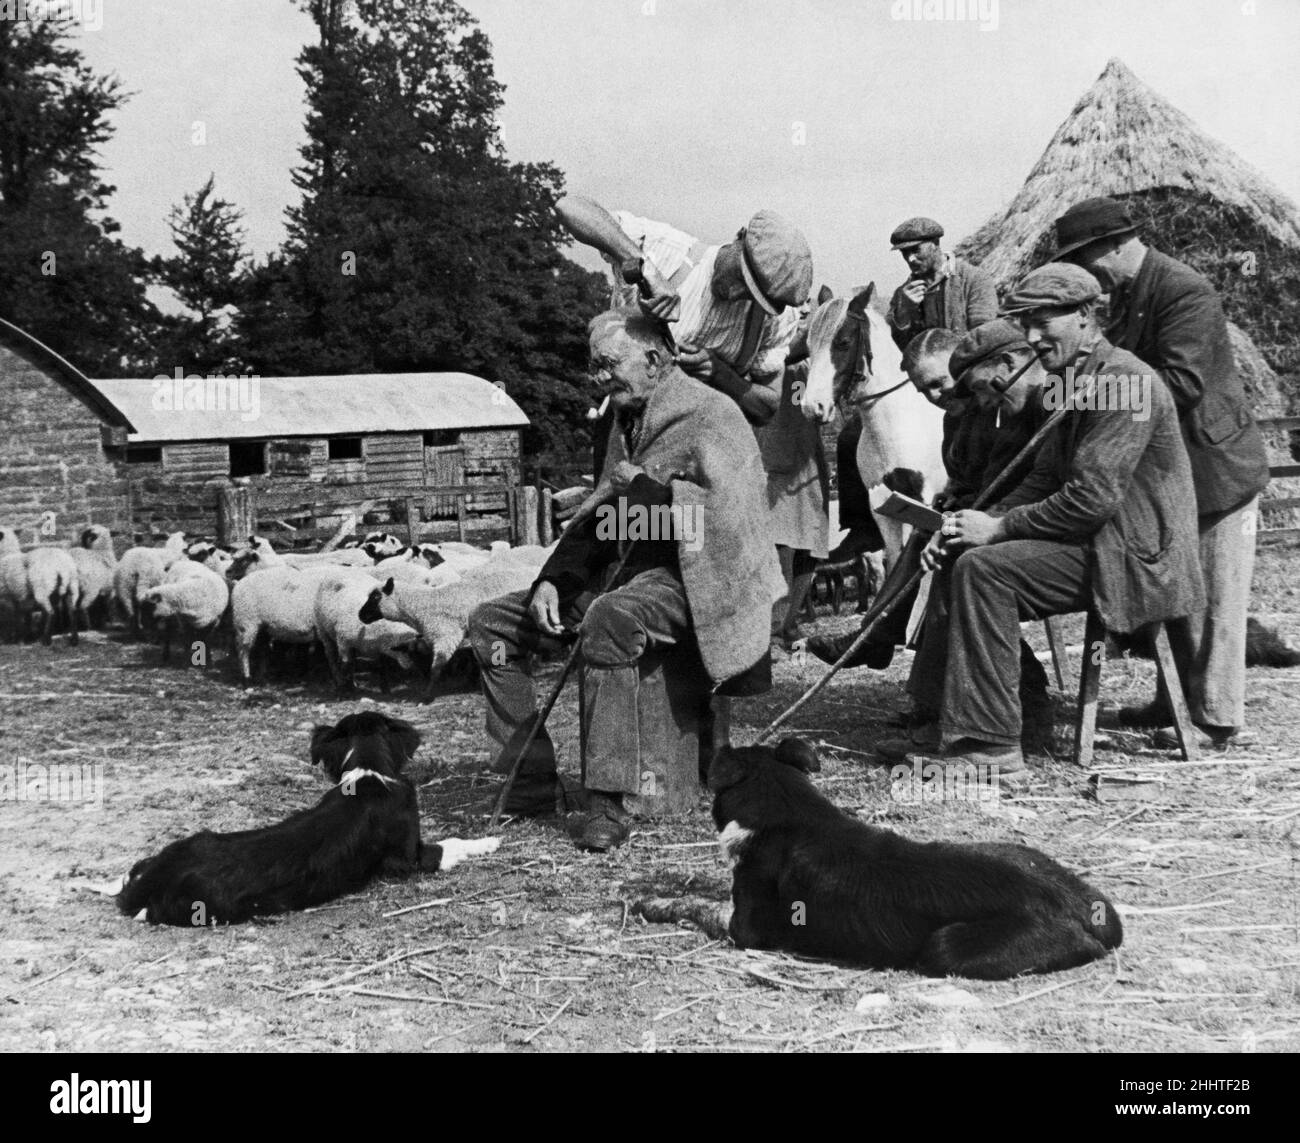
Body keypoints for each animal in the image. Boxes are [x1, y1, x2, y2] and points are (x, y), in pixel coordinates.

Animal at [634, 743, 1123, 983]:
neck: (788, 807)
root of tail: (1090, 911)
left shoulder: (747, 928)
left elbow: (701, 905)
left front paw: (652, 902)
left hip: (947, 946)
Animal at [790, 286, 946, 572]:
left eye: (843, 342)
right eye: (808, 347)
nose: (812, 407)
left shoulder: (925, 501)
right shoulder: (884, 508)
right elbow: (896, 562)